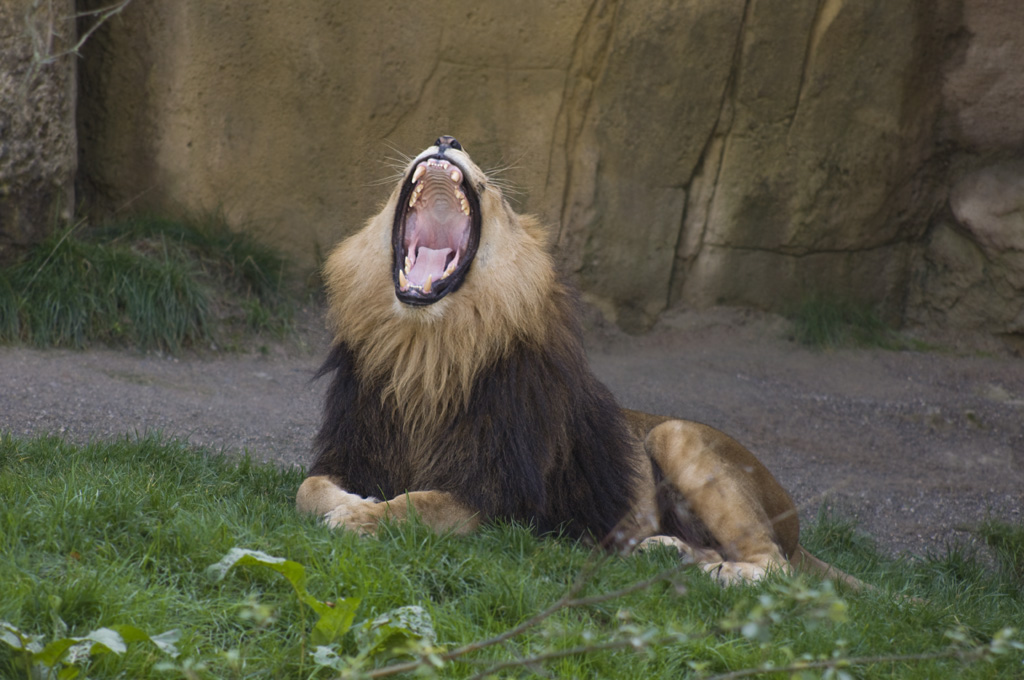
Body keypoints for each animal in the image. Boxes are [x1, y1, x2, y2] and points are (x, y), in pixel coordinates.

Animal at [297, 135, 863, 587]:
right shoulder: (350, 452)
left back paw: (721, 572)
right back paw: (667, 552)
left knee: (778, 567)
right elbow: (308, 489)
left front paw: (360, 519)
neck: (427, 351)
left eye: (495, 193)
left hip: (676, 434)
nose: (446, 138)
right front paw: (355, 503)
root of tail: (795, 530)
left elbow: (420, 504)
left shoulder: (502, 501)